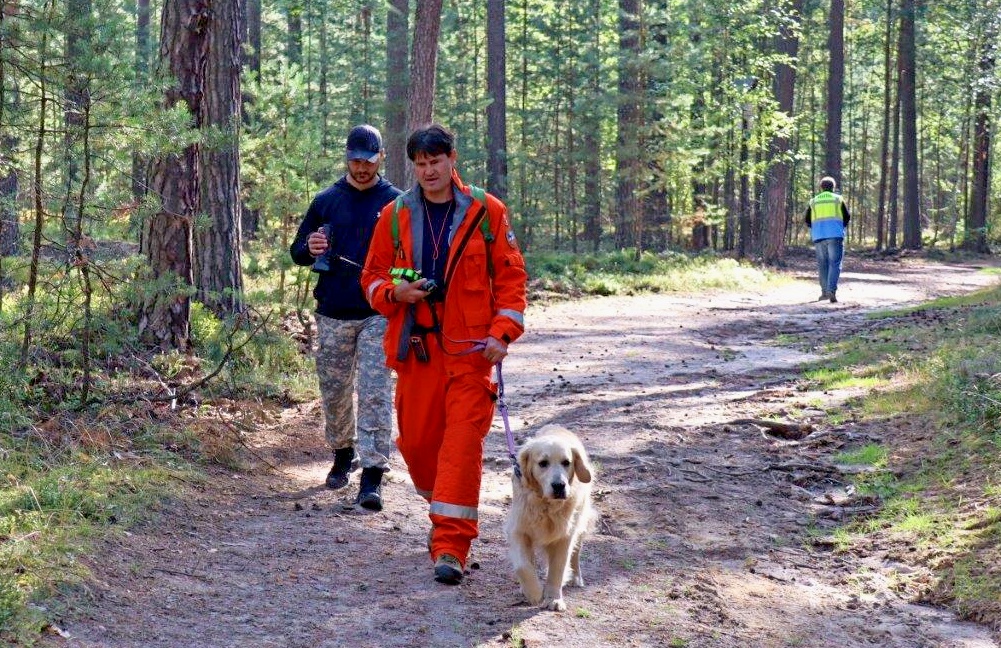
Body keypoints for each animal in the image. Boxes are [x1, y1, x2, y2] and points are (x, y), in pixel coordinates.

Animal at [508, 422, 592, 612]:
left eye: (566, 463)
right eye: (543, 463)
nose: (559, 486)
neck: (545, 505)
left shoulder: (564, 536)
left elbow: (557, 568)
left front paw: (553, 598)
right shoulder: (518, 529)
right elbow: (523, 565)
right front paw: (534, 592)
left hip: (580, 519)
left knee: (576, 552)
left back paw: (576, 576)